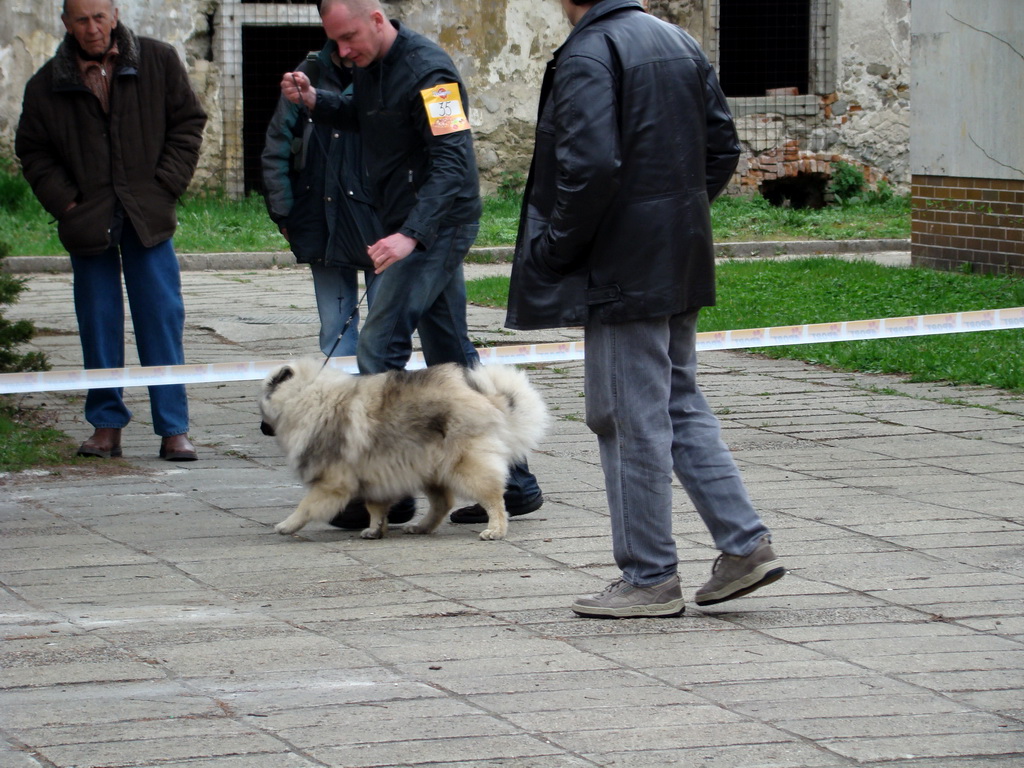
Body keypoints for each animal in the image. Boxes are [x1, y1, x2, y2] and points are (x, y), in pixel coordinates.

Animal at [260, 360, 548, 540]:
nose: (262, 428)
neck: (306, 396)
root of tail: (488, 399)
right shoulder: (375, 474)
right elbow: (375, 508)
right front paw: (375, 530)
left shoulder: (332, 483)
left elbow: (307, 506)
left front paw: (286, 525)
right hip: (430, 467)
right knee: (443, 503)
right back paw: (421, 527)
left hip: (465, 465)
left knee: (493, 498)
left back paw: (495, 529)